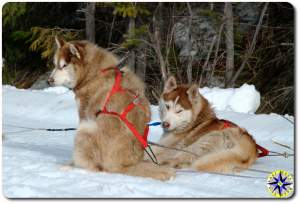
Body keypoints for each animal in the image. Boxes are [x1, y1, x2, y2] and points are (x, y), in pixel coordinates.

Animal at [47, 36, 175, 180]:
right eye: (55, 64)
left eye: (63, 66)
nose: (49, 80)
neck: (94, 74)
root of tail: (126, 164)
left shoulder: (84, 114)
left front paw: (70, 163)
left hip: (84, 130)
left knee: (95, 168)